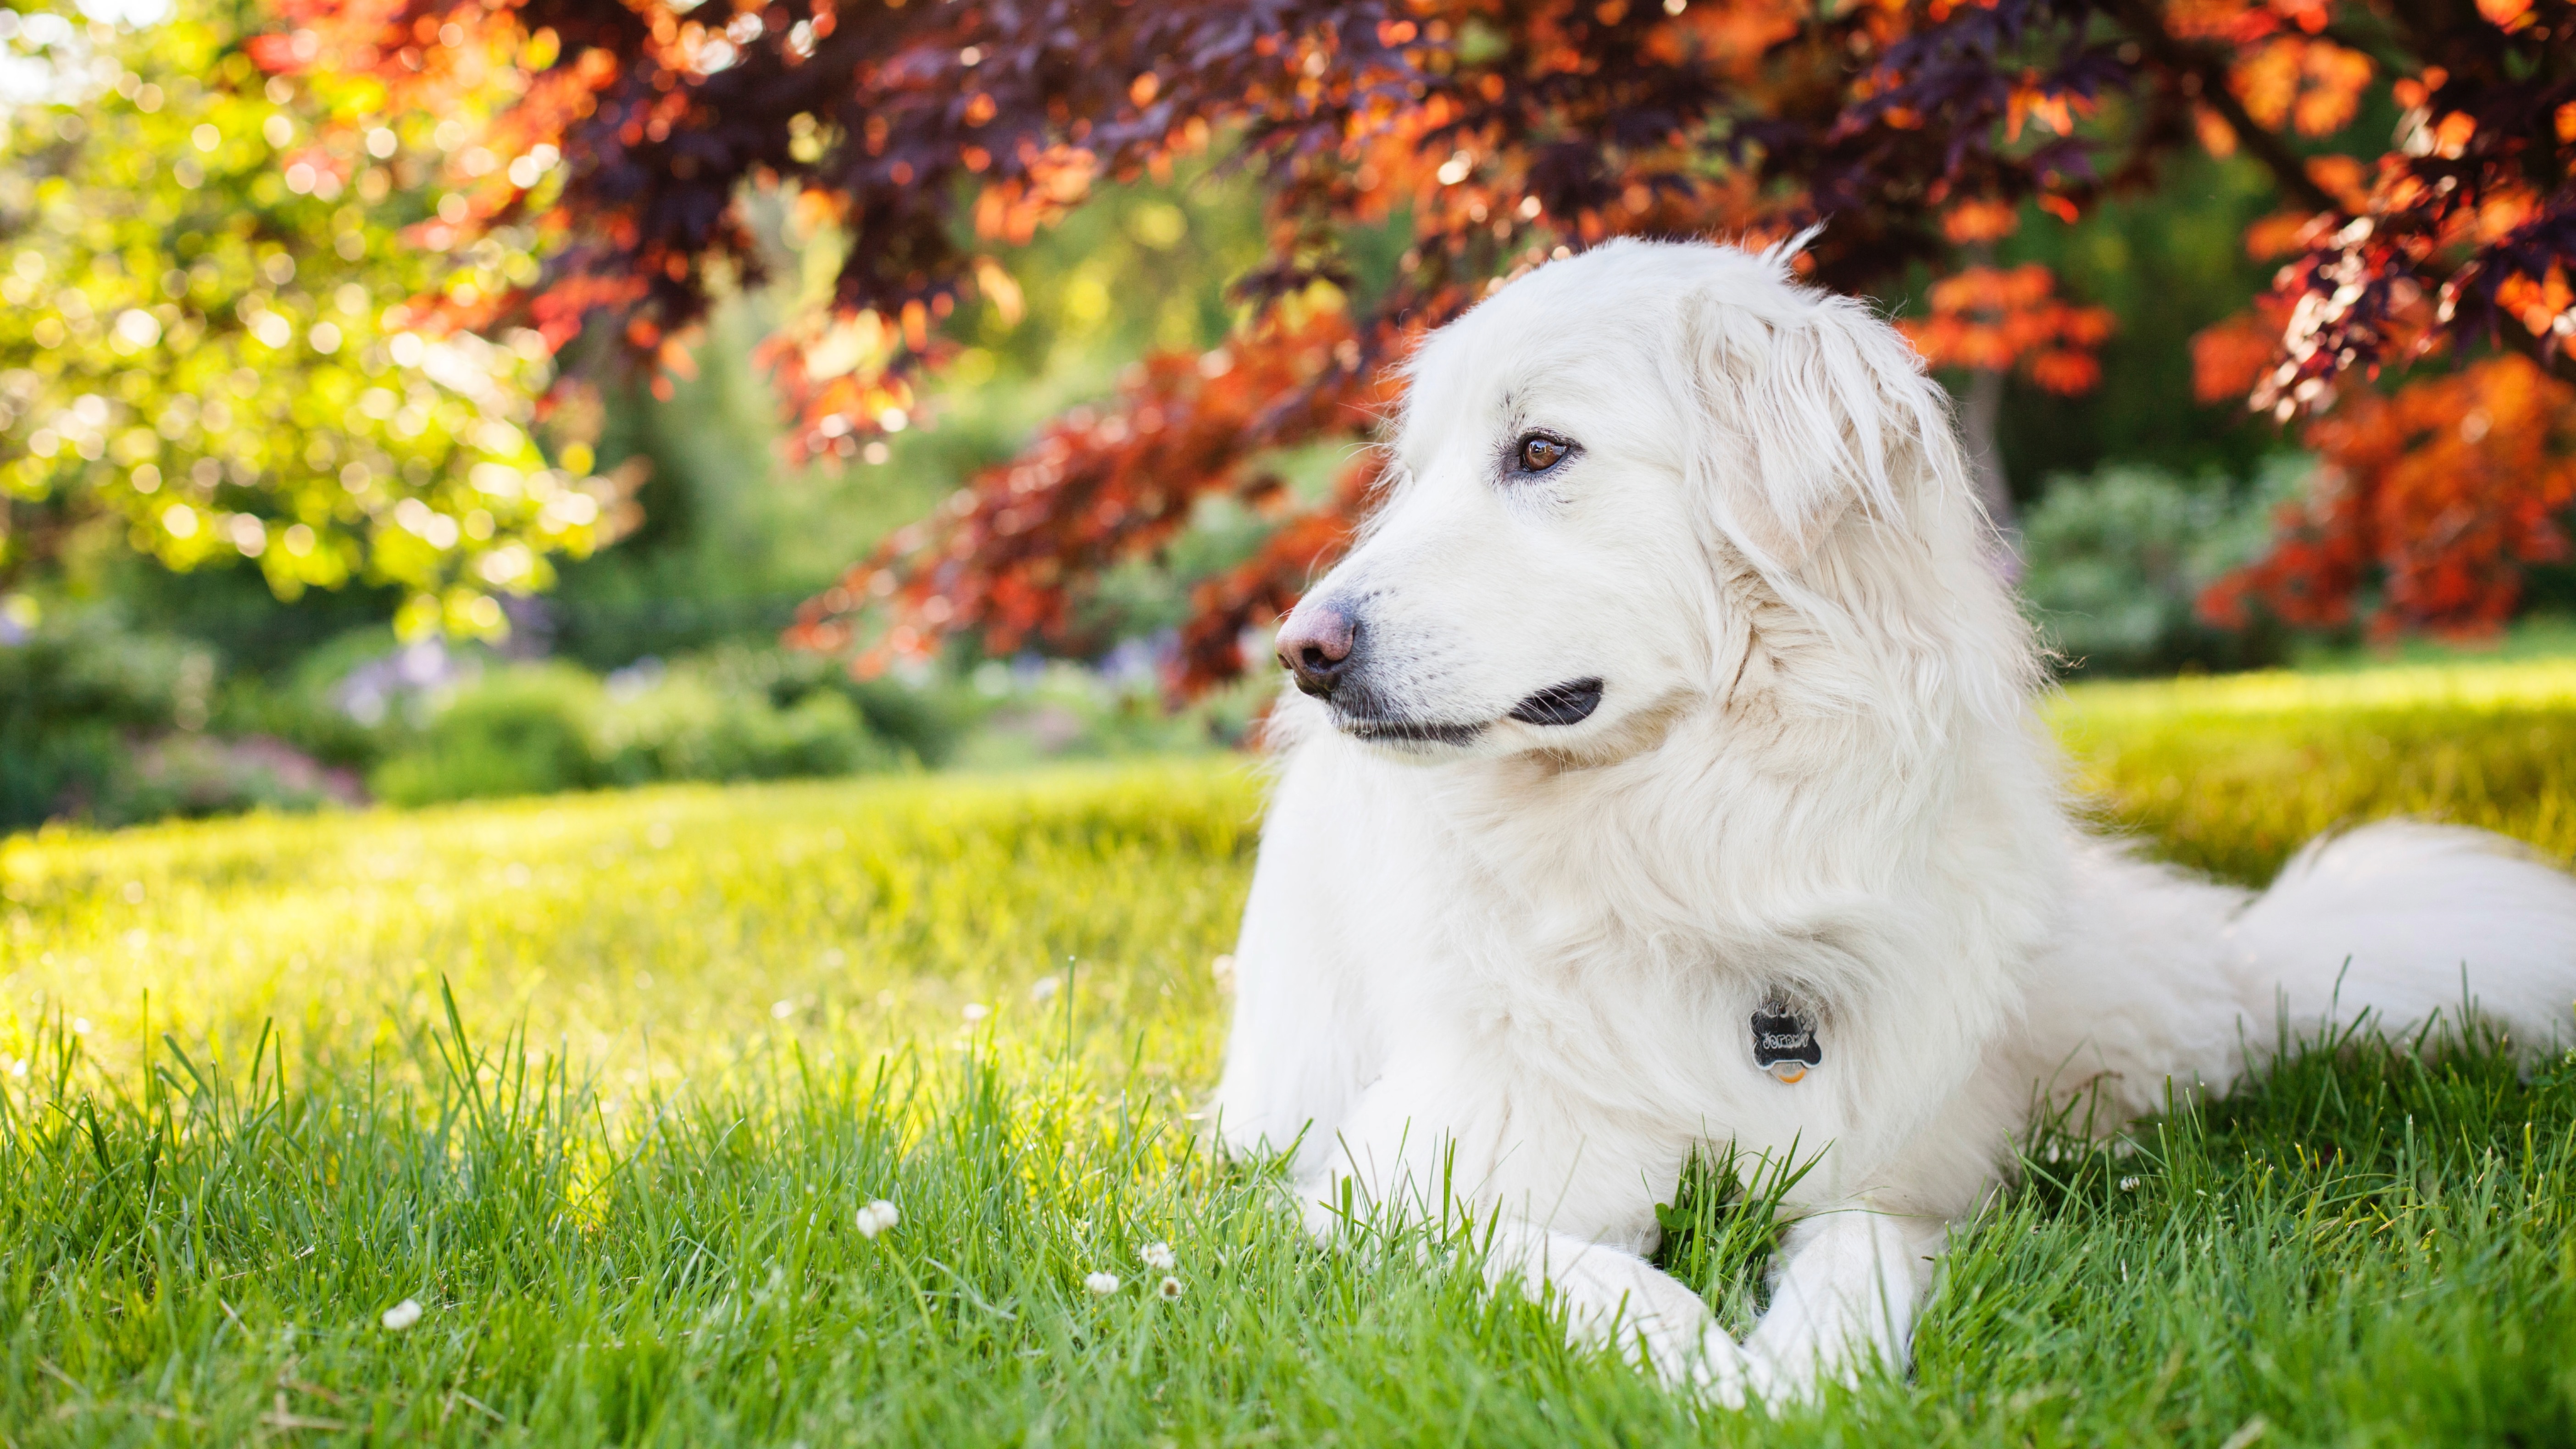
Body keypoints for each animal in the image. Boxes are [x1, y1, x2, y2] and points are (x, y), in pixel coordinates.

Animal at [1205, 237, 2576, 1402]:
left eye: (1541, 452)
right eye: (1416, 476)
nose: (1300, 651)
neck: (1697, 847)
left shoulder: (1891, 1177)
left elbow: (1859, 1257)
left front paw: (1807, 1375)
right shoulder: (1402, 1193)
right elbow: (1591, 1272)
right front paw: (1710, 1374)